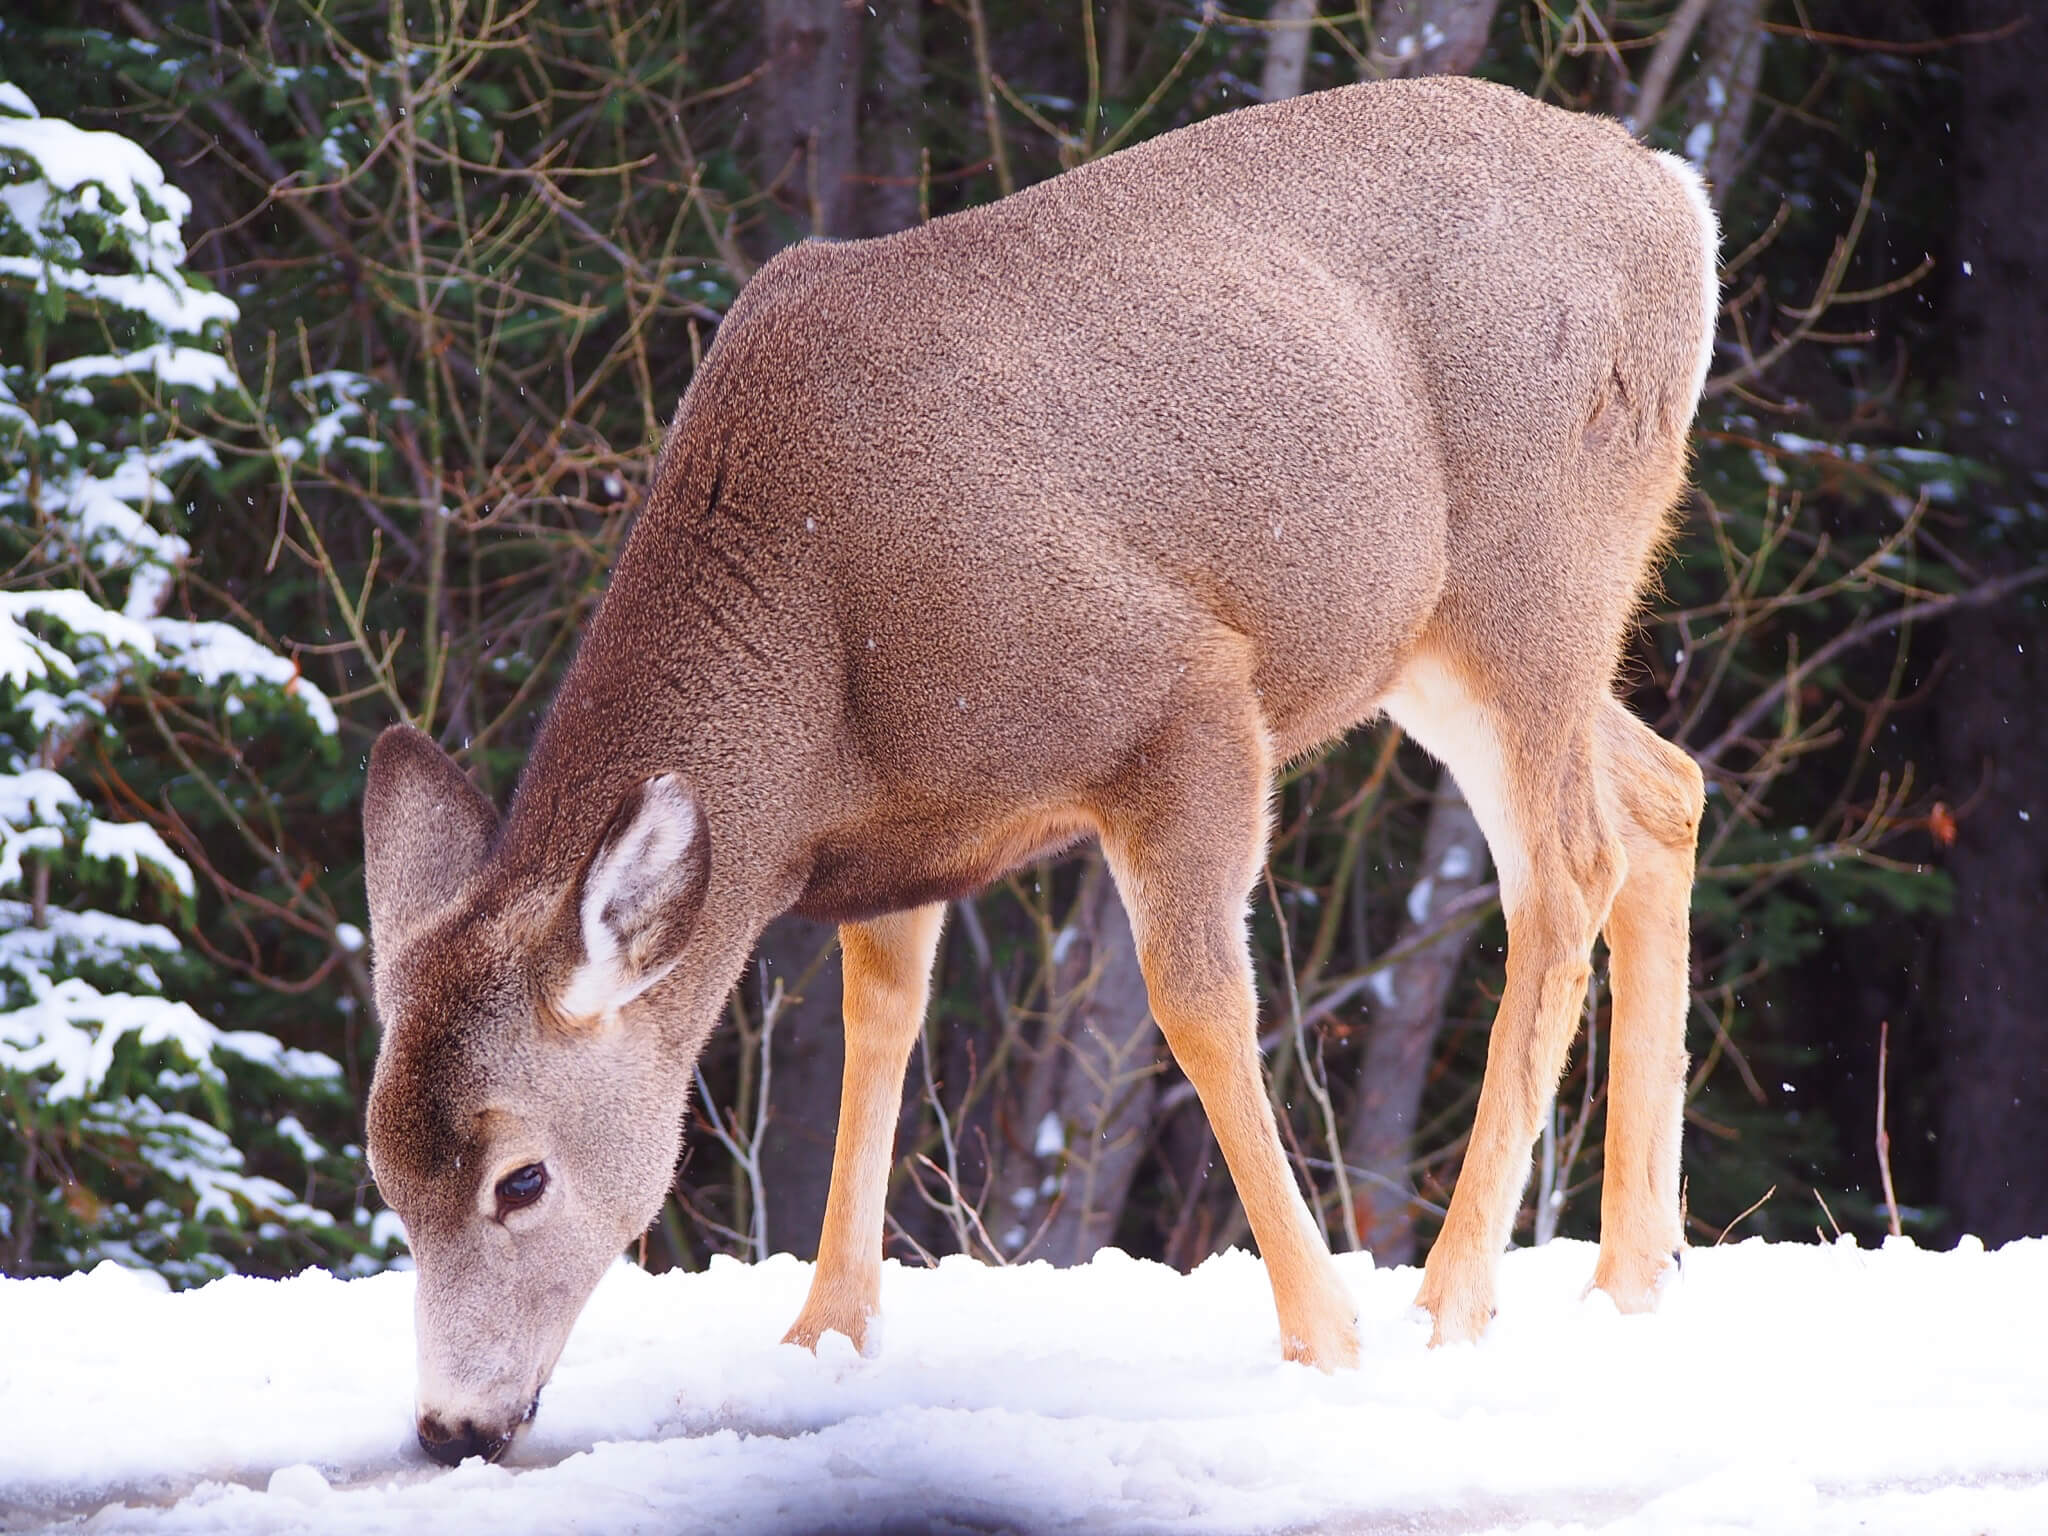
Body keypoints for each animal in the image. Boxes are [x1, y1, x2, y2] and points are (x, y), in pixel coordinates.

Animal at [364, 72, 1712, 1466]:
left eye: (520, 1177)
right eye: (384, 1175)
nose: (450, 1425)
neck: (817, 662)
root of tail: (1671, 193)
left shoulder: (1182, 691)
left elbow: (1197, 1002)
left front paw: (1321, 1336)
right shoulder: (904, 834)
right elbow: (882, 1014)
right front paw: (824, 1332)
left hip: (1533, 564)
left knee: (1568, 866)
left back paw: (1452, 1302)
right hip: (1441, 641)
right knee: (1663, 794)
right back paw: (1629, 1279)